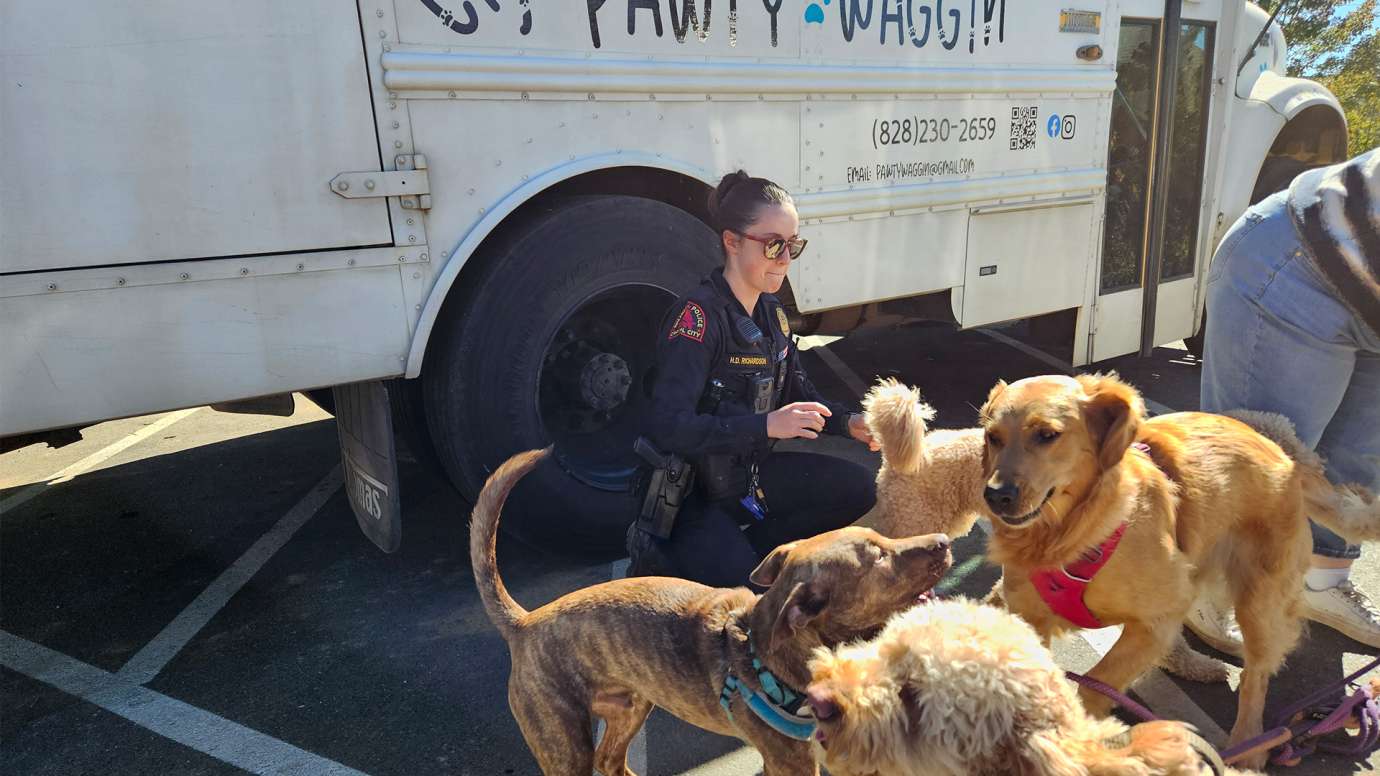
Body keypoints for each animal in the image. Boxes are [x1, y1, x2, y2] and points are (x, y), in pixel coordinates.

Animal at [469, 444, 954, 773]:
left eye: (884, 538)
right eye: (879, 558)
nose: (945, 542)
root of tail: (526, 622)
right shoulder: (792, 765)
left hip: (631, 708)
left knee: (611, 761)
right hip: (564, 744)